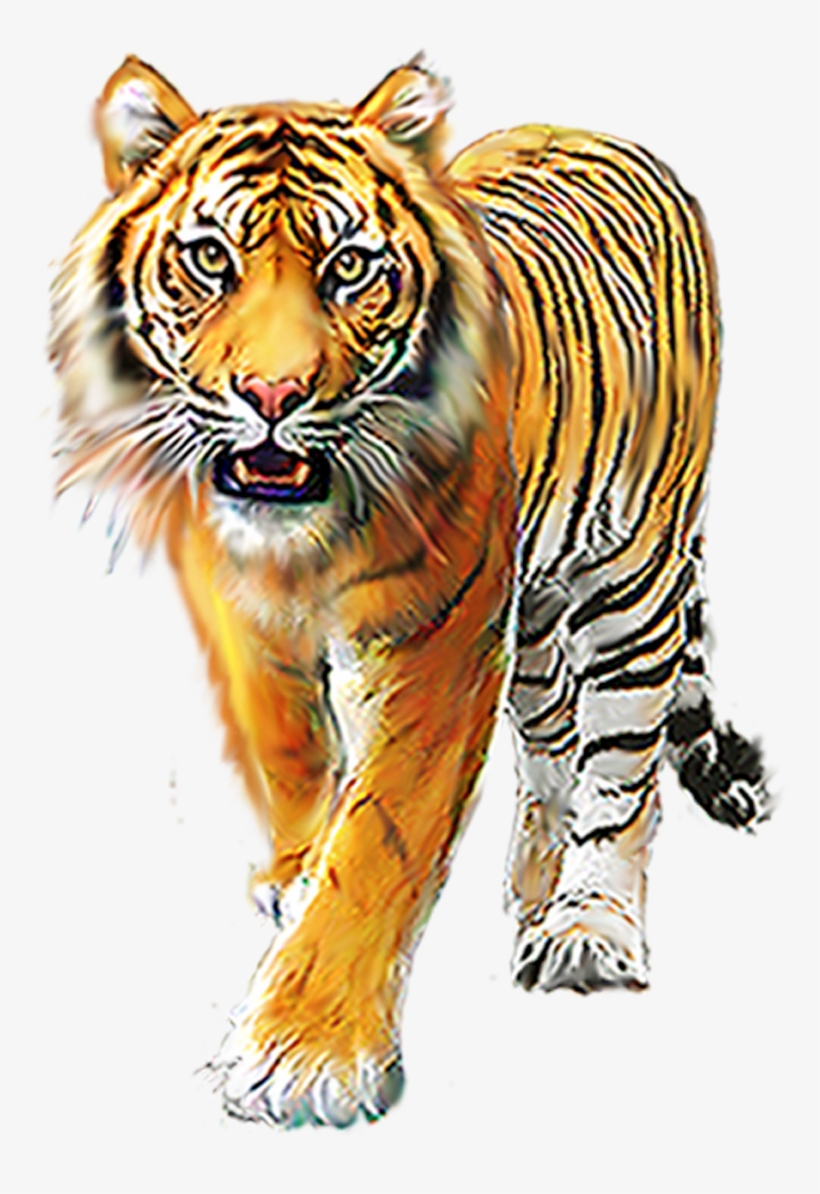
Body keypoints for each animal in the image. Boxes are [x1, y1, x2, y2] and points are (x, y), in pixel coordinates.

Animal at [50, 55, 770, 1128]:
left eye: (349, 266)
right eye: (211, 258)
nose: (273, 396)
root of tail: (601, 133)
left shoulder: (441, 641)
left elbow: (383, 835)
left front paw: (306, 1054)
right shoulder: (240, 612)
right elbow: (290, 754)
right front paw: (297, 874)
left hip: (630, 579)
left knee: (621, 766)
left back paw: (589, 925)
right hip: (538, 612)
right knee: (550, 742)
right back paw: (533, 884)